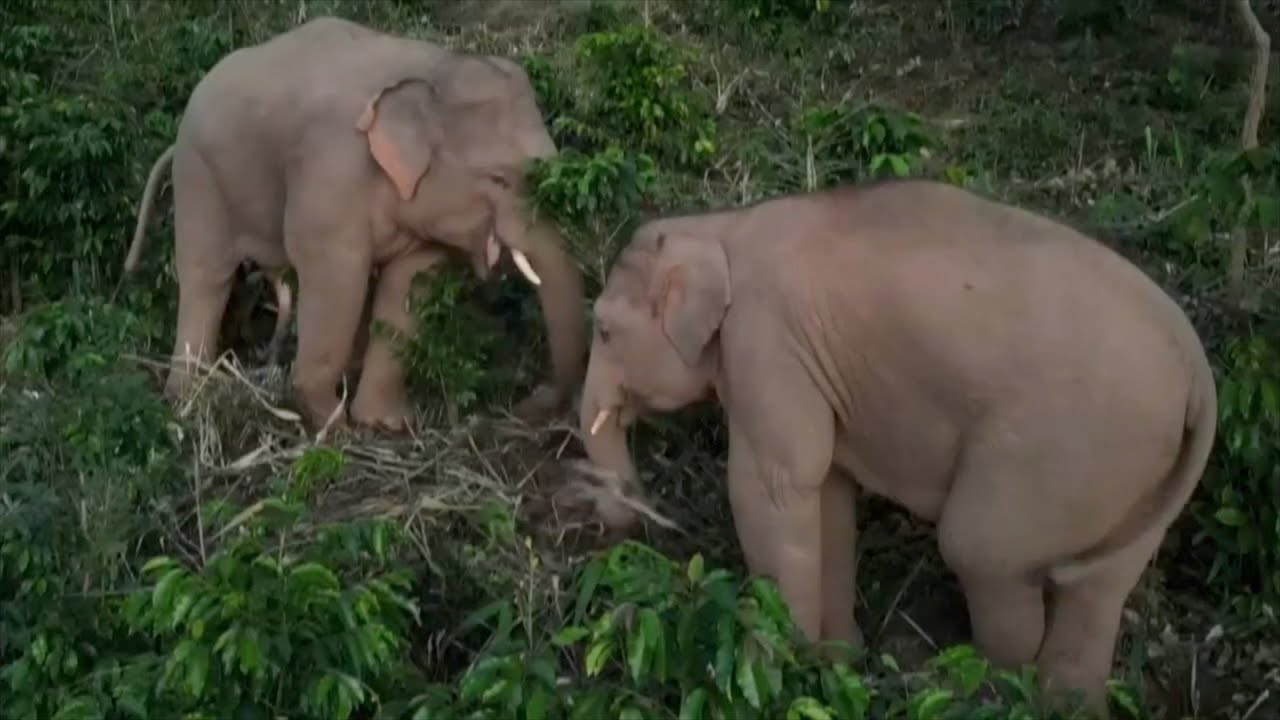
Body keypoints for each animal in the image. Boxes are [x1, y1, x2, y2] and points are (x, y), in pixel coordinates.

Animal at [120, 16, 585, 431]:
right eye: (498, 179)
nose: (521, 403)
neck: (433, 72)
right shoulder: (332, 169)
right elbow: (337, 277)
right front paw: (330, 422)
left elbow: (410, 280)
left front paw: (382, 424)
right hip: (199, 175)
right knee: (205, 276)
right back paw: (188, 399)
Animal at [575, 178, 1217, 715]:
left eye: (603, 330)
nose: (625, 533)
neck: (721, 226)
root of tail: (1199, 373)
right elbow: (828, 492)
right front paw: (837, 660)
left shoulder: (764, 342)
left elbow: (776, 487)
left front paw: (789, 670)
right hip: (1133, 473)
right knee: (1097, 588)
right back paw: (1064, 705)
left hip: (1060, 449)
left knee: (981, 550)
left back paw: (977, 690)